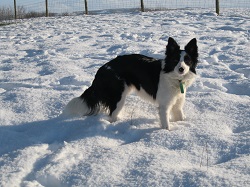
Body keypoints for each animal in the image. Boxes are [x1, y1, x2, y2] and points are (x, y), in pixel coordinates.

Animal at [63, 37, 198, 129]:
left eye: (187, 60)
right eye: (175, 60)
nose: (181, 69)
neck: (175, 78)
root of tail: (102, 69)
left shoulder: (178, 103)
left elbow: (180, 116)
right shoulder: (164, 105)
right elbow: (166, 124)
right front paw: (166, 132)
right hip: (118, 97)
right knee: (112, 115)